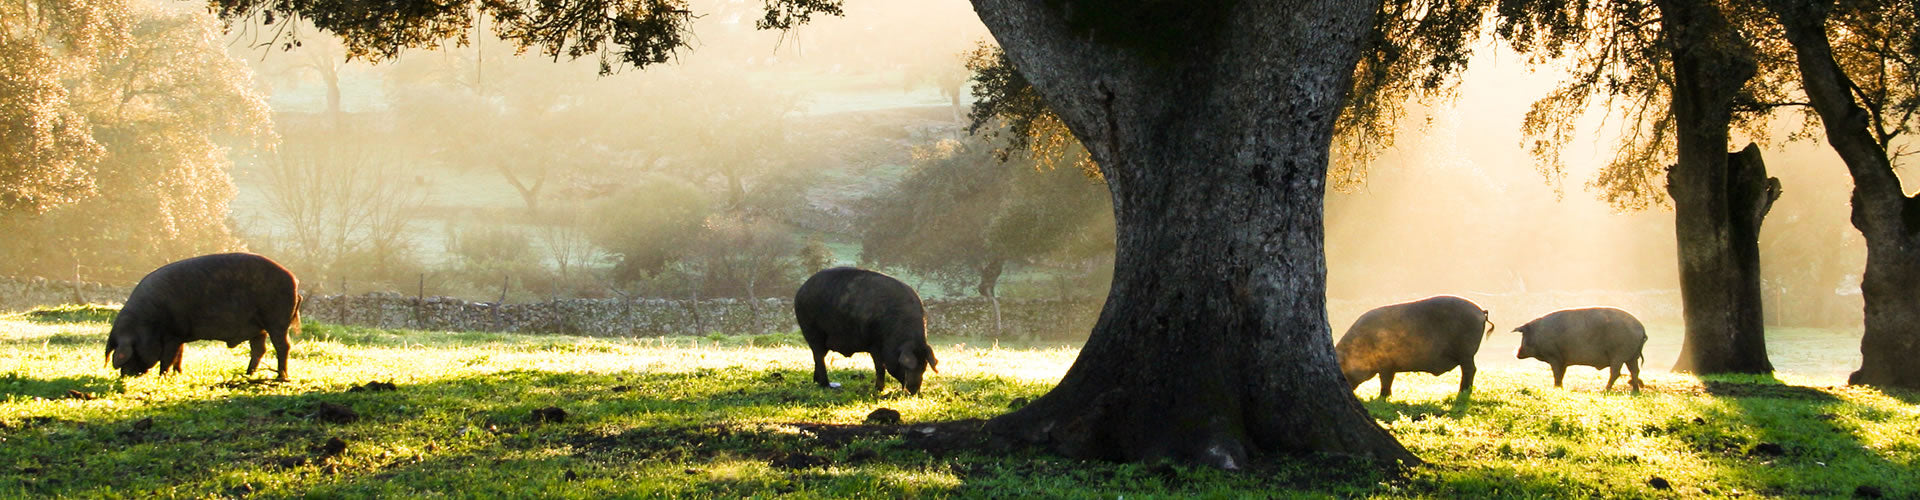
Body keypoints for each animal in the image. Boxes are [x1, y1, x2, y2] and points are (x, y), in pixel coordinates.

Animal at [103, 251, 299, 380]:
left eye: (131, 352)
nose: (125, 376)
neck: (148, 322)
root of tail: (294, 280)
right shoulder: (180, 335)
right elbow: (179, 354)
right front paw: (179, 374)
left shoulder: (173, 335)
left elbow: (168, 357)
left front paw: (163, 377)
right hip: (258, 328)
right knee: (259, 349)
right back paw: (247, 374)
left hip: (277, 320)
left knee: (283, 346)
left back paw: (281, 377)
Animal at [791, 267, 940, 392]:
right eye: (907, 366)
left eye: (924, 367)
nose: (914, 391)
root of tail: (800, 291)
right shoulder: (874, 344)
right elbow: (880, 366)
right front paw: (879, 389)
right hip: (811, 329)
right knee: (818, 356)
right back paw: (827, 386)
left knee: (818, 357)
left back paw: (819, 382)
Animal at [1344, 294, 1489, 400]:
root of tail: (1480, 311)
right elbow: (1388, 380)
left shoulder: (1386, 365)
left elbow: (1385, 380)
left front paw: (1382, 398)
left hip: (1466, 352)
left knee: (1470, 370)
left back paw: (1463, 392)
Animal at [1512, 305, 1651, 392]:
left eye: (1524, 335)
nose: (1517, 353)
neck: (1538, 332)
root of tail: (1641, 328)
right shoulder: (1563, 361)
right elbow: (1561, 374)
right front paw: (1560, 388)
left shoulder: (1554, 357)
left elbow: (1556, 373)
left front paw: (1555, 388)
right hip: (1632, 356)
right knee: (1635, 371)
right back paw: (1635, 391)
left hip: (1619, 354)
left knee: (1616, 372)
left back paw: (1605, 390)